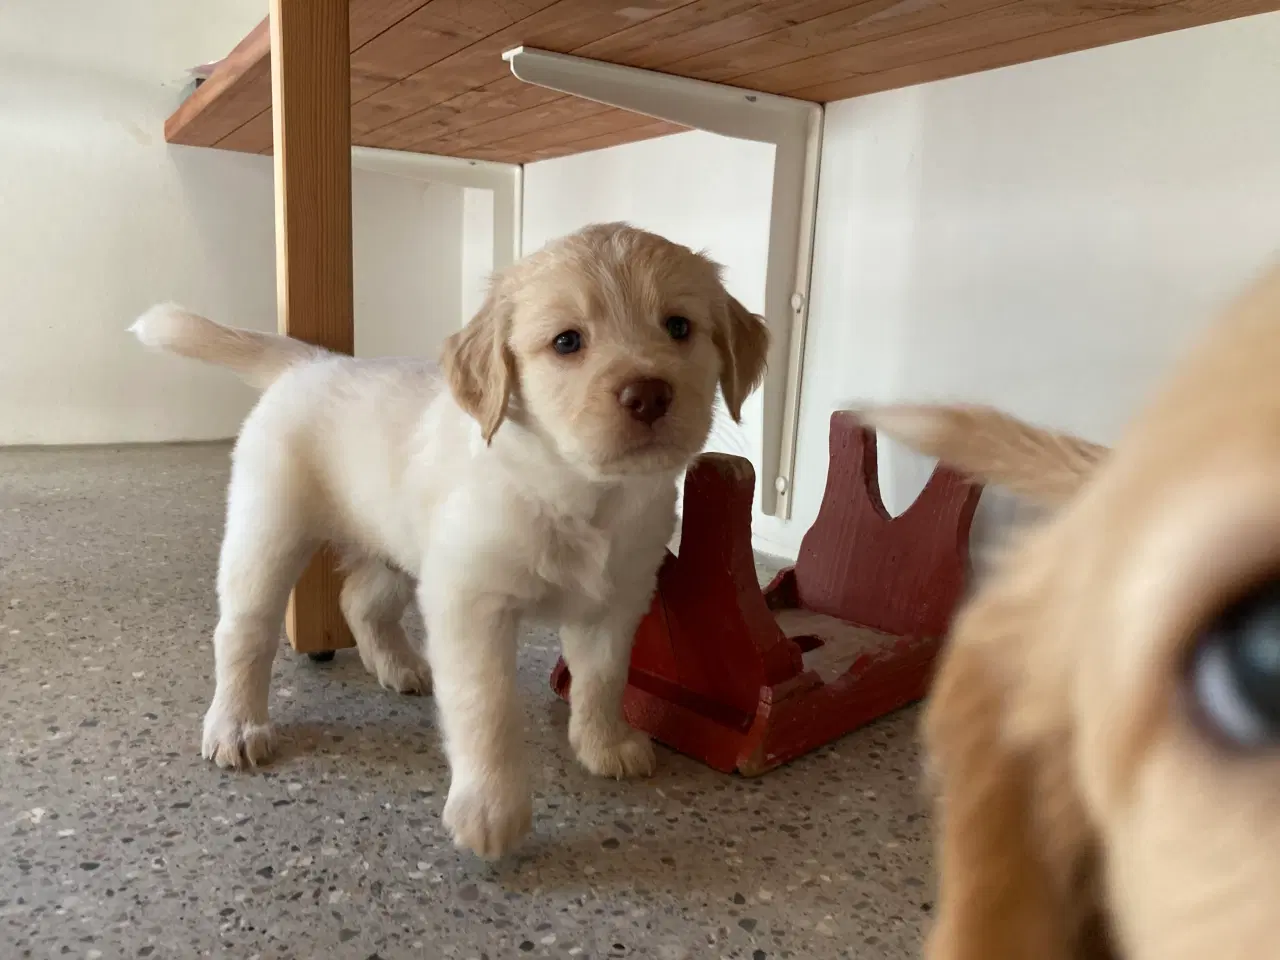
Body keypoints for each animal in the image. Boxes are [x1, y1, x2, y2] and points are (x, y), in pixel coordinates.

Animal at [131, 224, 768, 855]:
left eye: (679, 327)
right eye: (567, 342)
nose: (649, 395)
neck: (581, 493)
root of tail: (311, 362)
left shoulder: (616, 601)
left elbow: (603, 679)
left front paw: (603, 743)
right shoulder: (470, 602)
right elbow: (486, 707)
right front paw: (491, 808)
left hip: (399, 548)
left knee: (360, 601)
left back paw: (399, 667)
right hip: (268, 529)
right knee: (244, 632)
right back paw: (236, 725)